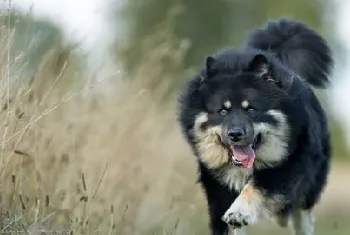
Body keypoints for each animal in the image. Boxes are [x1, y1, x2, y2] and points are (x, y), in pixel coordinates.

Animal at [176, 18, 332, 235]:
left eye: (250, 109)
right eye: (222, 111)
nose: (235, 134)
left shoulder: (287, 165)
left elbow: (258, 187)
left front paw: (239, 212)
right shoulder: (218, 187)